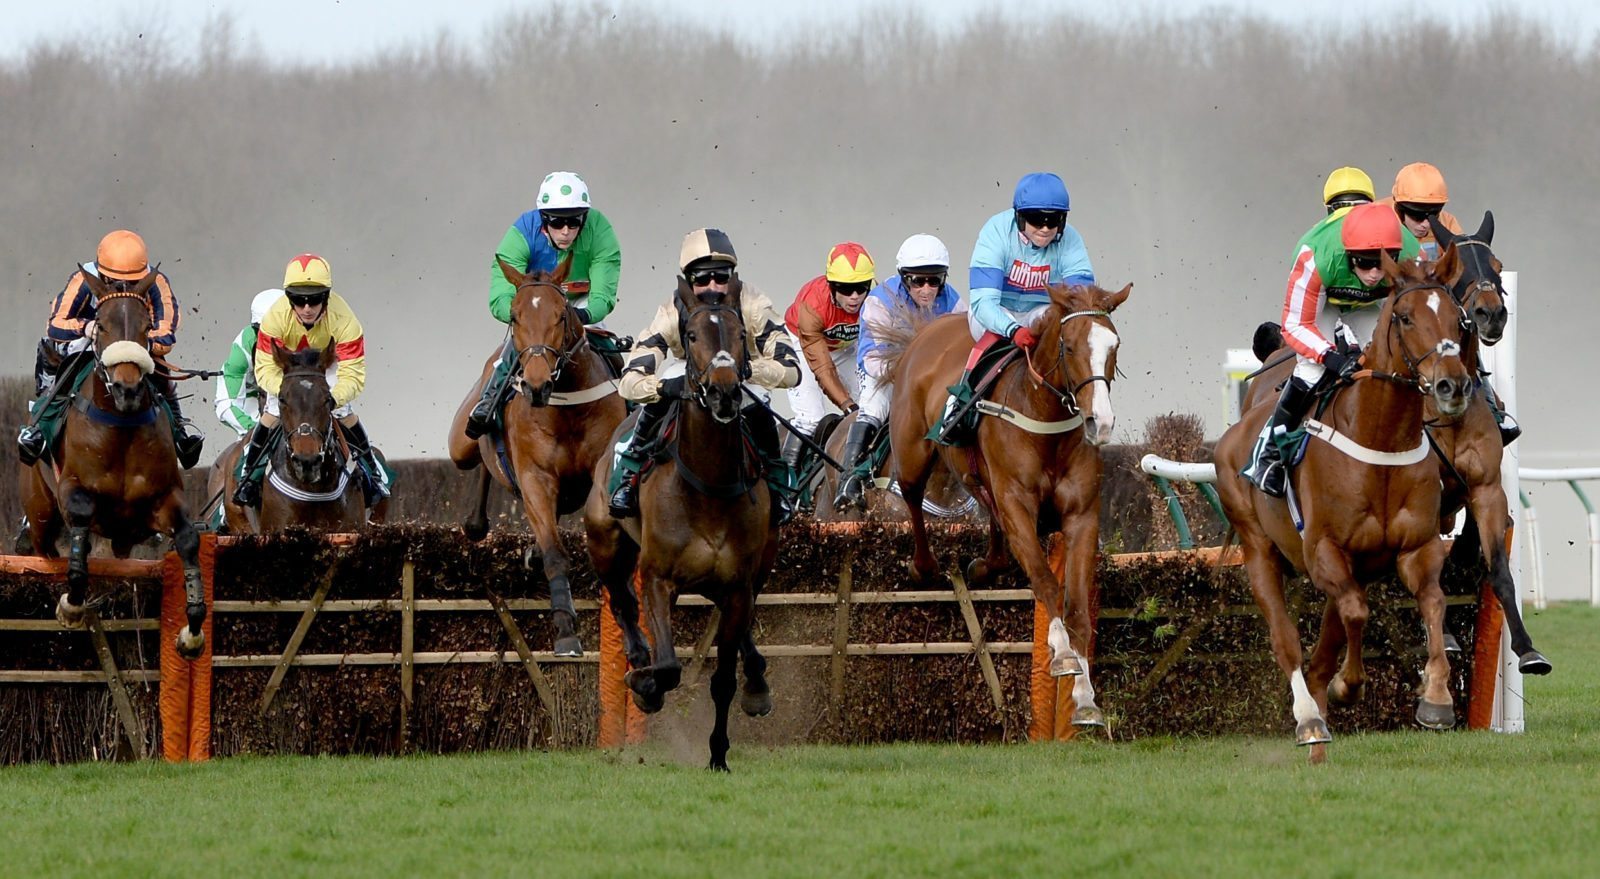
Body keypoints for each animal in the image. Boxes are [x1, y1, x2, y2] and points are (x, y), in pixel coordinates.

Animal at [18, 270, 207, 658]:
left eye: (146, 327)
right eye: (102, 326)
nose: (127, 390)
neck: (120, 427)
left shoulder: (163, 501)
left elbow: (187, 540)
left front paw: (192, 630)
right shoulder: (73, 490)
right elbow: (80, 523)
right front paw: (72, 604)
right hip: (41, 515)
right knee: (45, 551)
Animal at [447, 259, 626, 658]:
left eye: (561, 315)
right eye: (514, 316)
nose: (536, 385)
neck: (566, 408)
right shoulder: (536, 478)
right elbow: (555, 553)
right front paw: (566, 633)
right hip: (460, 444)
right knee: (478, 460)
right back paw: (477, 523)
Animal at [584, 275, 776, 771]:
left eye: (741, 335)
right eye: (690, 335)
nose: (725, 392)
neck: (708, 486)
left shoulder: (737, 585)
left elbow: (723, 678)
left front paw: (718, 755)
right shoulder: (657, 577)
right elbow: (668, 666)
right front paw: (645, 685)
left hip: (755, 569)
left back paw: (757, 684)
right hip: (604, 541)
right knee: (621, 602)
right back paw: (637, 658)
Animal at [884, 282, 1133, 729]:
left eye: (1114, 345)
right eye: (1069, 346)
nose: (1100, 423)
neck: (1047, 424)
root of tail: (927, 330)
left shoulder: (1081, 517)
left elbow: (1077, 608)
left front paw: (1085, 699)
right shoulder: (1018, 504)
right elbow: (1046, 582)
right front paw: (1062, 655)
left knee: (992, 529)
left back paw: (983, 565)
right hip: (912, 452)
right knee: (912, 496)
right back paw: (924, 566)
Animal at [1215, 254, 1474, 759]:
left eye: (1458, 320)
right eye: (1406, 317)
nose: (1451, 386)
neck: (1381, 436)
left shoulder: (1418, 548)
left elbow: (1433, 601)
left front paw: (1436, 699)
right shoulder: (1324, 551)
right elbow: (1357, 614)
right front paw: (1348, 687)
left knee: (1324, 646)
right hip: (1259, 549)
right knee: (1288, 641)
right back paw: (1310, 720)